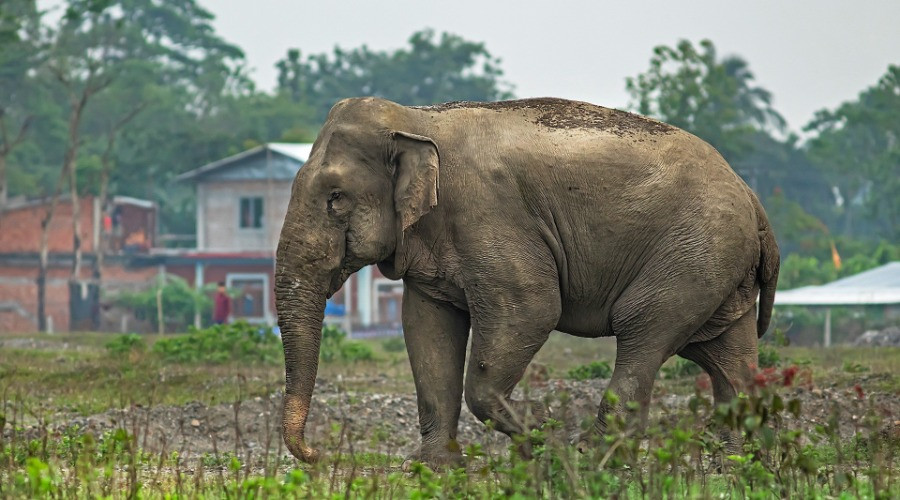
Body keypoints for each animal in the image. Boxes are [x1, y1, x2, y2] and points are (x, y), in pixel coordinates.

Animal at [275, 96, 780, 466]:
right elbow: (427, 327)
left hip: (695, 253)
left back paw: (594, 458)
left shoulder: (491, 216)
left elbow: (531, 308)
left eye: (335, 198)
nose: (317, 454)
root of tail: (753, 198)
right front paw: (432, 467)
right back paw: (737, 464)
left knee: (644, 329)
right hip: (715, 266)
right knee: (723, 353)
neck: (417, 118)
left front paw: (545, 442)